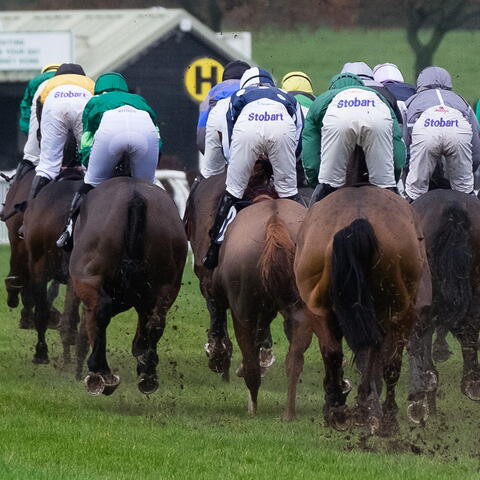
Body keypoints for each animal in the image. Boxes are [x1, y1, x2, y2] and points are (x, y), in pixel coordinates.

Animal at [69, 176, 188, 394]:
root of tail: (135, 197)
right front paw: (142, 358)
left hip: (88, 276)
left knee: (101, 310)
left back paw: (100, 372)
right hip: (168, 282)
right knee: (156, 319)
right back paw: (147, 373)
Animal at [294, 187, 430, 436]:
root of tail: (358, 218)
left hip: (318, 308)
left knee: (334, 352)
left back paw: (339, 409)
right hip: (401, 310)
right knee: (389, 363)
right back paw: (385, 416)